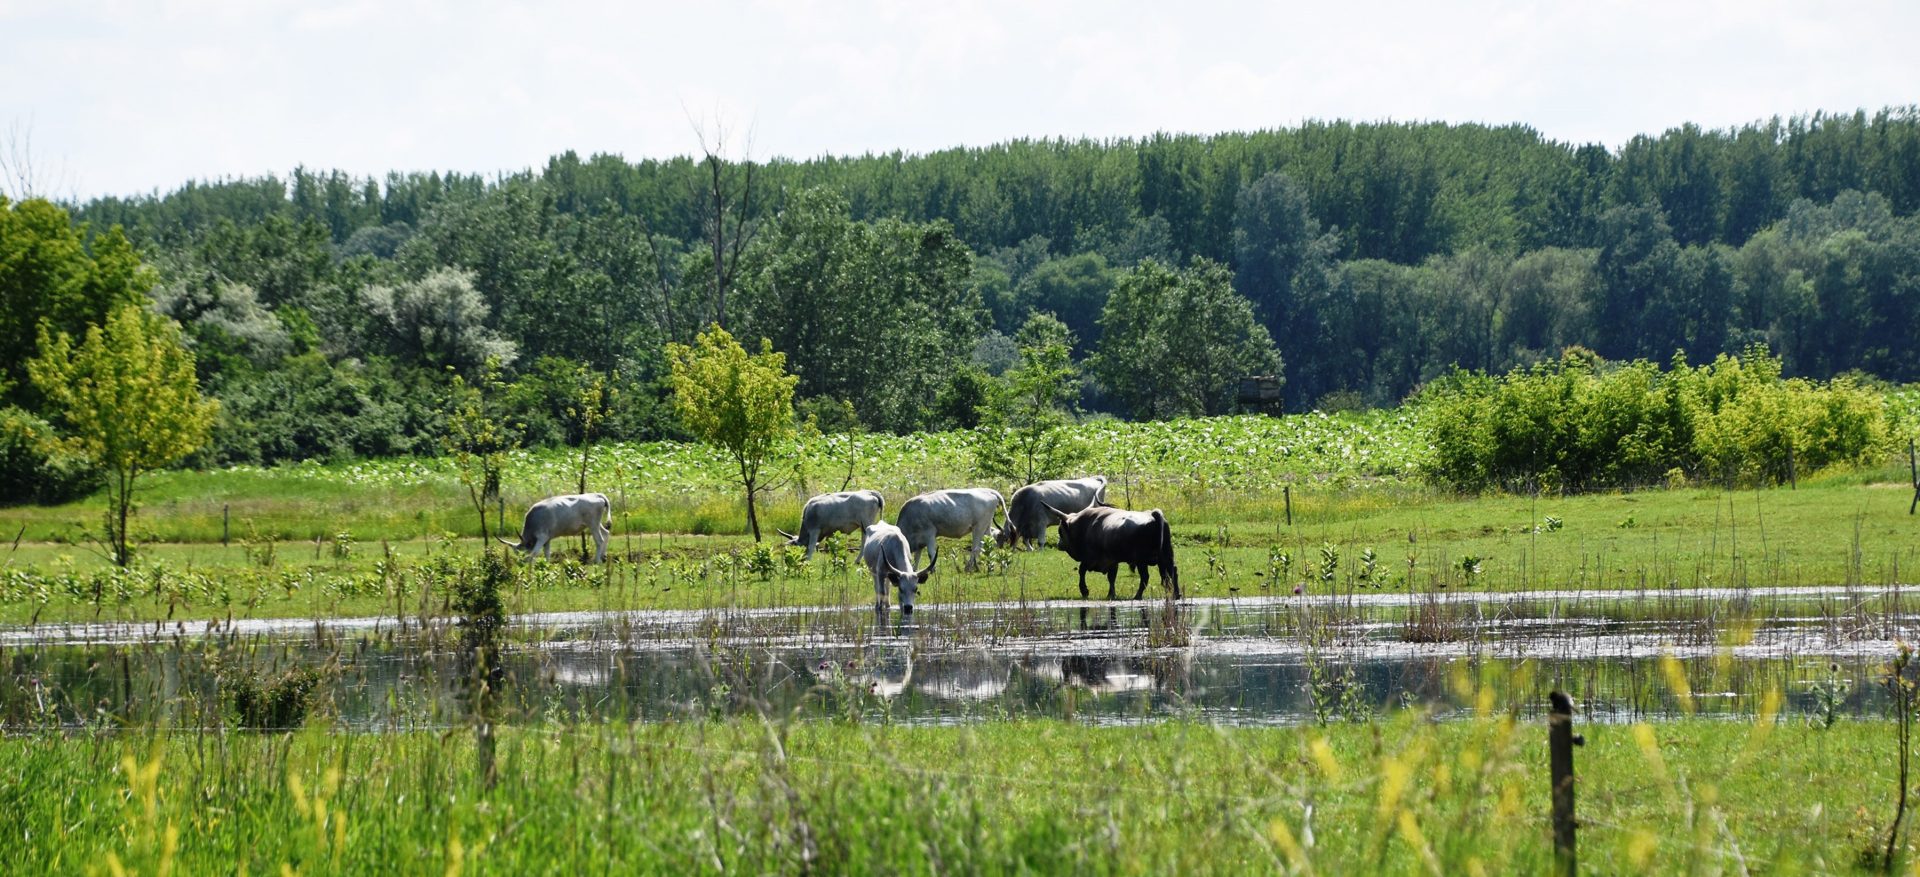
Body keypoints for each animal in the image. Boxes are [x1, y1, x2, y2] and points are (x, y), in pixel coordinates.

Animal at [1044, 502, 1175, 598]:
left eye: (1060, 531)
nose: (1058, 544)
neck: (1085, 526)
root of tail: (1152, 514)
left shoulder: (1090, 559)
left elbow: (1081, 571)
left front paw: (1084, 590)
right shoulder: (1112, 561)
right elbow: (1112, 578)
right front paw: (1111, 594)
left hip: (1141, 562)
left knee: (1145, 578)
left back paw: (1137, 596)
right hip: (1165, 558)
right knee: (1170, 573)